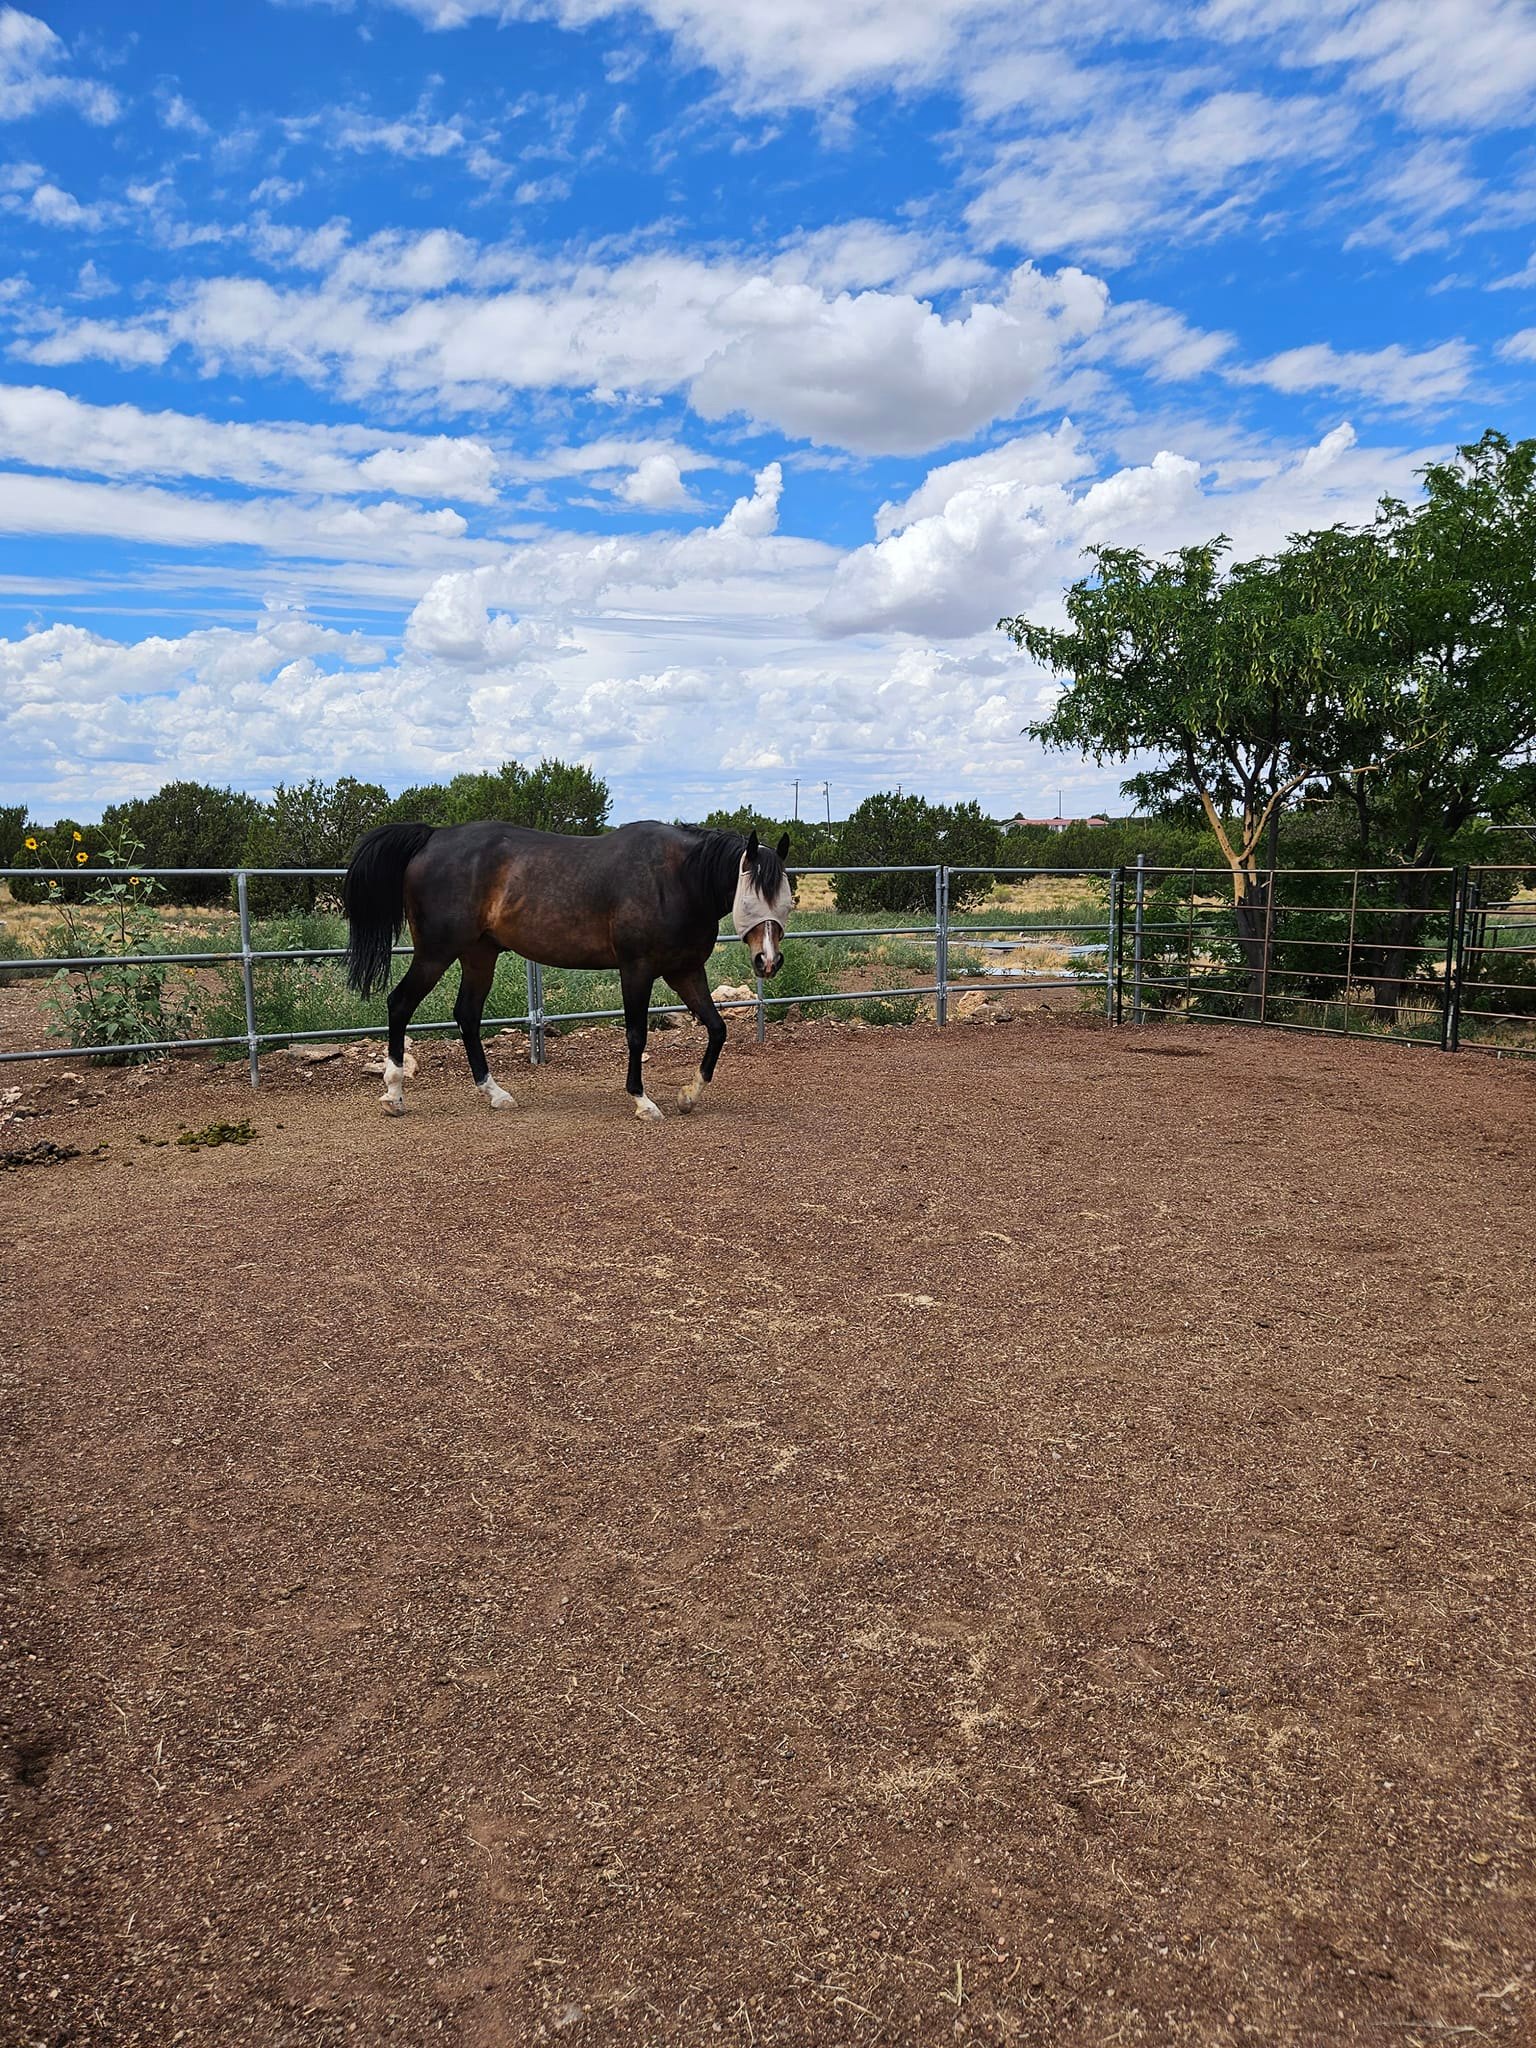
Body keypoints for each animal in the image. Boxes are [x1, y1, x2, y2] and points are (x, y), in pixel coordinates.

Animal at [341, 820, 794, 1119]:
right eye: (751, 895)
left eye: (787, 898)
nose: (768, 961)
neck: (675, 878)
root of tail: (432, 837)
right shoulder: (637, 969)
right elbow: (636, 1034)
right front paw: (642, 1102)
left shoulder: (685, 971)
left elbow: (717, 1029)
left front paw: (688, 1095)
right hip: (436, 952)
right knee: (400, 1003)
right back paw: (394, 1096)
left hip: (479, 955)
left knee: (467, 1015)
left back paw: (495, 1093)